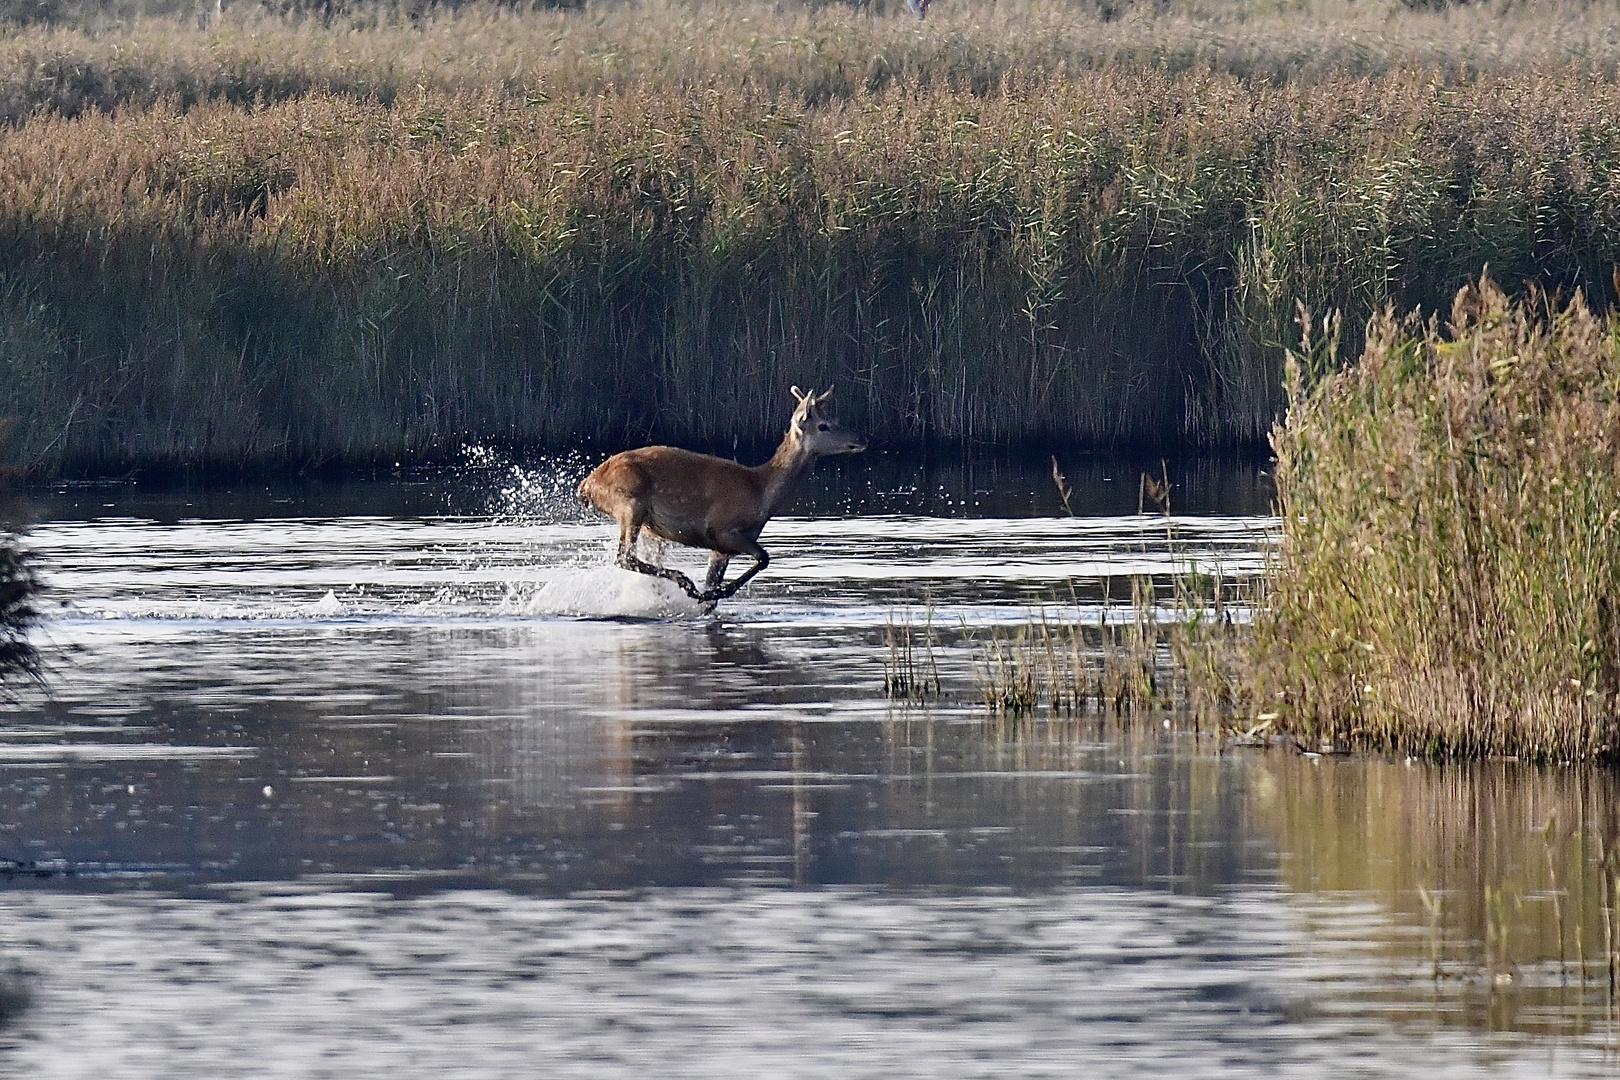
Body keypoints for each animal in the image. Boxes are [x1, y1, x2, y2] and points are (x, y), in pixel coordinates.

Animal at [576, 388, 868, 608]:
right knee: (624, 556)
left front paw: (709, 596)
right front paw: (711, 593)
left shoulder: (721, 548)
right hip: (629, 501)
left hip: (651, 526)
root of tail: (587, 485)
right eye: (823, 426)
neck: (761, 493)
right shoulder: (721, 528)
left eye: (835, 420)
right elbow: (764, 557)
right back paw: (685, 582)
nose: (862, 438)